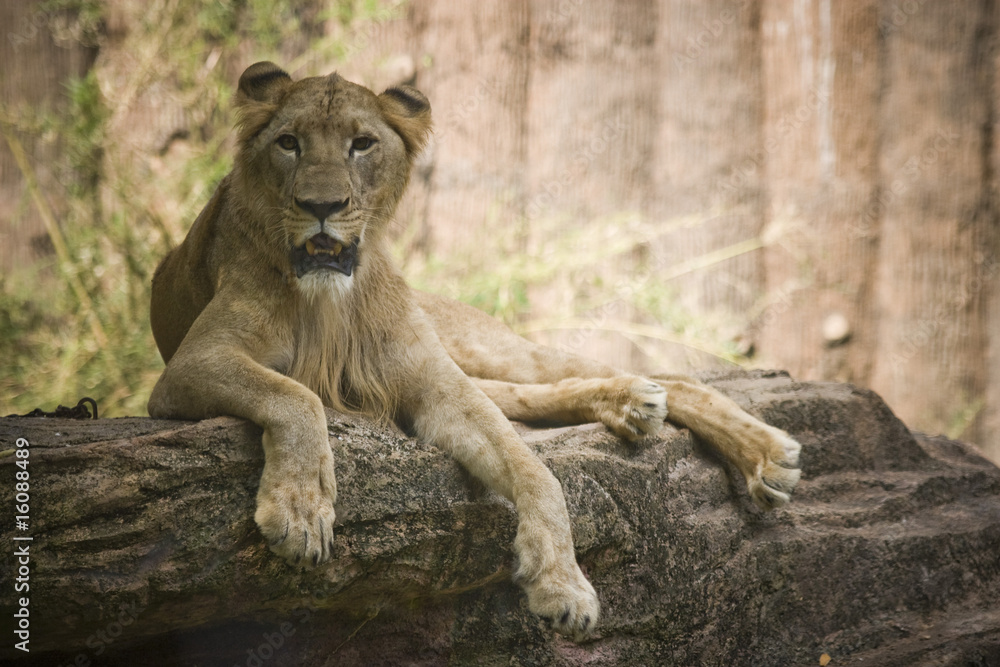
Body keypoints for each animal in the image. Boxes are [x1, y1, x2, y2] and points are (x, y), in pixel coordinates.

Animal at [148, 61, 801, 641]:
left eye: (362, 144)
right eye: (289, 143)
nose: (322, 207)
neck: (329, 301)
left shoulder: (437, 384)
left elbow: (536, 472)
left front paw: (564, 586)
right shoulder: (191, 364)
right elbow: (296, 396)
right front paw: (300, 511)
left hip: (485, 349)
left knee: (660, 377)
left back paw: (762, 452)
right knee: (547, 395)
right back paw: (635, 408)